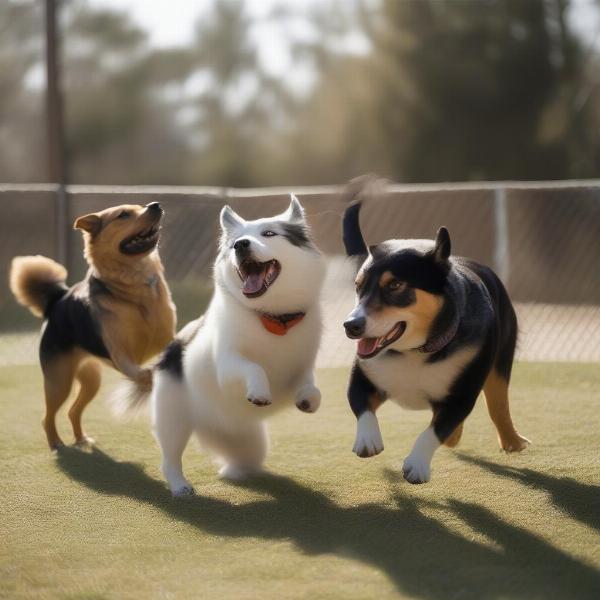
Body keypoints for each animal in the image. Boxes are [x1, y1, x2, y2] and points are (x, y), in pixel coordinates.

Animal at [9, 204, 176, 448]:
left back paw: (81, 439)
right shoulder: (121, 355)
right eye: (123, 215)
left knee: (73, 411)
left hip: (91, 381)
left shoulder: (166, 338)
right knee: (48, 416)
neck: (134, 286)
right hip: (59, 382)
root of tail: (58, 299)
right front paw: (150, 379)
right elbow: (142, 373)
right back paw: (56, 442)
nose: (155, 205)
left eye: (140, 206)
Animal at [116, 195, 324, 494]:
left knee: (244, 458)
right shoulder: (226, 368)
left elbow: (311, 385)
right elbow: (253, 368)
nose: (241, 245)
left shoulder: (303, 366)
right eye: (235, 240)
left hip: (248, 442)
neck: (272, 318)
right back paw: (180, 486)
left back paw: (235, 472)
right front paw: (259, 392)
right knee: (170, 459)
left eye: (269, 233)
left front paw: (308, 399)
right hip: (173, 422)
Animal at [342, 196, 528, 482]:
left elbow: (434, 431)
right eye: (358, 286)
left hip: (500, 362)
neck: (416, 352)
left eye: (395, 285)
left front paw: (417, 464)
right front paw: (367, 440)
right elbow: (361, 405)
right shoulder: (364, 375)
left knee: (498, 404)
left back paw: (512, 441)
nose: (351, 325)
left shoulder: (461, 395)